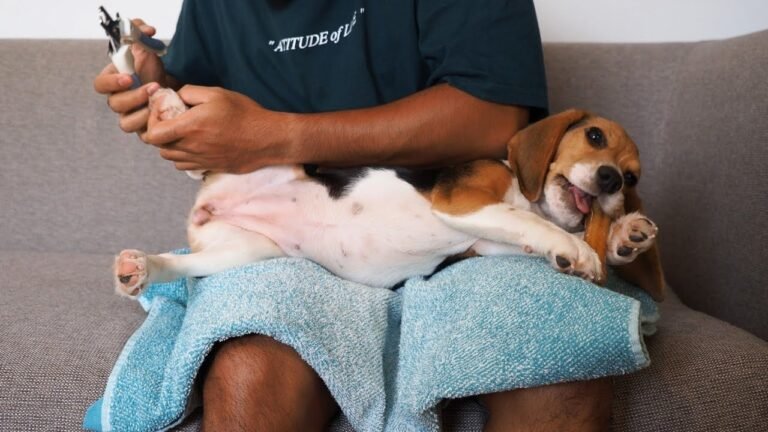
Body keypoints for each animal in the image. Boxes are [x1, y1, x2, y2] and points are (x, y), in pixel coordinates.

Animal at [115, 88, 664, 300]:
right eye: (594, 136)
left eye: (633, 178)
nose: (612, 180)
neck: (524, 192)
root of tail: (206, 208)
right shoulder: (463, 202)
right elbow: (535, 223)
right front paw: (578, 248)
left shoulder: (486, 240)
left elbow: (533, 230)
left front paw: (625, 236)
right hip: (271, 159)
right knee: (204, 162)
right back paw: (167, 106)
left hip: (245, 252)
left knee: (180, 264)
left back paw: (140, 268)